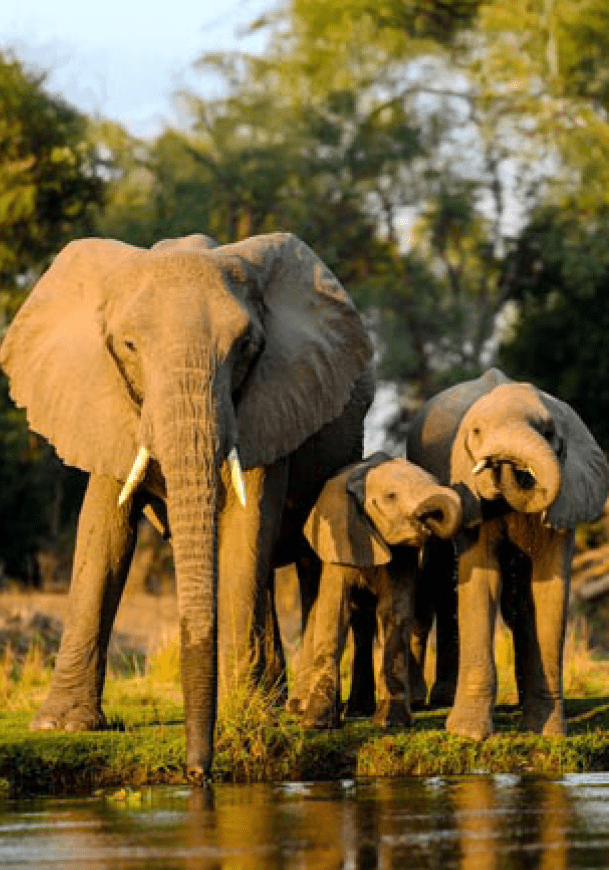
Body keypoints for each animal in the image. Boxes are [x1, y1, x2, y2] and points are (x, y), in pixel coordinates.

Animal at [0, 231, 374, 781]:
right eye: (129, 346)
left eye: (246, 347)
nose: (198, 773)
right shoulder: (104, 401)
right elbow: (103, 534)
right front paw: (59, 727)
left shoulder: (269, 401)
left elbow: (246, 526)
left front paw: (246, 716)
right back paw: (276, 699)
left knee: (308, 561)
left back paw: (303, 710)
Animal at [293, 452, 462, 729]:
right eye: (391, 496)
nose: (429, 519)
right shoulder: (341, 539)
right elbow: (334, 611)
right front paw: (317, 724)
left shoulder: (402, 554)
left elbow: (395, 612)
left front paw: (391, 722)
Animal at [406, 367, 609, 739]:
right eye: (476, 432)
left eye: (548, 432)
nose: (503, 463)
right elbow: (481, 578)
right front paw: (468, 735)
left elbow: (548, 590)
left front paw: (548, 733)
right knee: (437, 580)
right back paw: (428, 700)